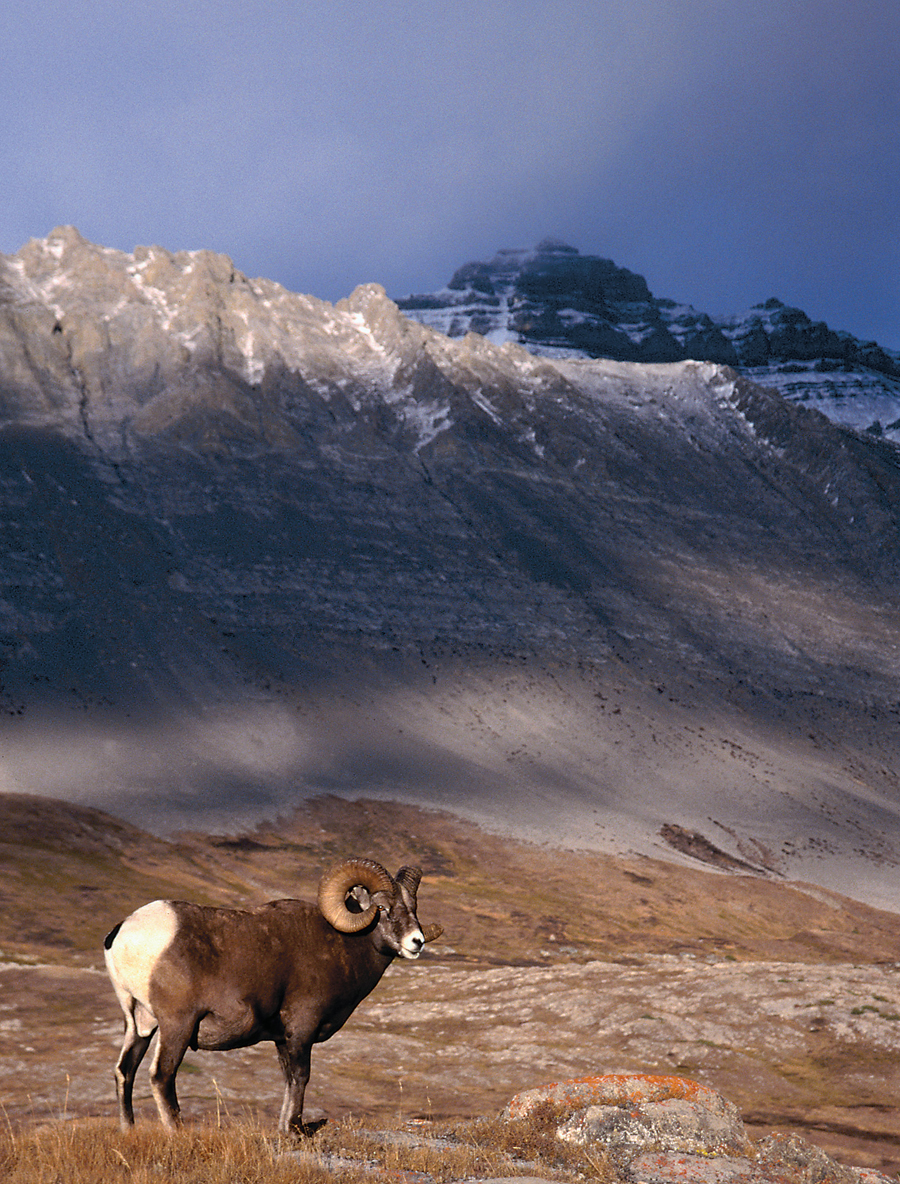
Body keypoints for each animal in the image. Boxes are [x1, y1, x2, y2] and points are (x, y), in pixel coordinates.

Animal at [103, 861, 440, 1136]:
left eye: (413, 906)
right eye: (381, 908)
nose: (416, 942)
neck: (344, 945)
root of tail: (122, 933)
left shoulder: (281, 1038)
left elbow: (288, 1079)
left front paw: (284, 1127)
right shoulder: (301, 1028)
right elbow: (301, 1076)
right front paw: (293, 1130)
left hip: (139, 1024)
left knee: (125, 1072)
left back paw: (128, 1130)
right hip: (177, 1026)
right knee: (161, 1076)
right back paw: (177, 1133)